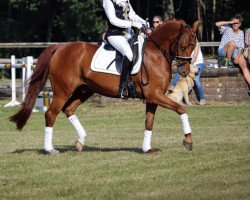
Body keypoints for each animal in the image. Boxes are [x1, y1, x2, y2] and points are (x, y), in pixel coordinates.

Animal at [9, 19, 199, 155]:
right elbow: (181, 108)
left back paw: (80, 142)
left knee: (68, 109)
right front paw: (188, 141)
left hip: (84, 90)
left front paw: (147, 149)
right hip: (63, 91)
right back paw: (50, 149)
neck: (156, 54)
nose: (184, 70)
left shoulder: (152, 97)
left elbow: (149, 122)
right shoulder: (155, 95)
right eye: (183, 45)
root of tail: (60, 48)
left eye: (193, 47)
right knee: (51, 114)